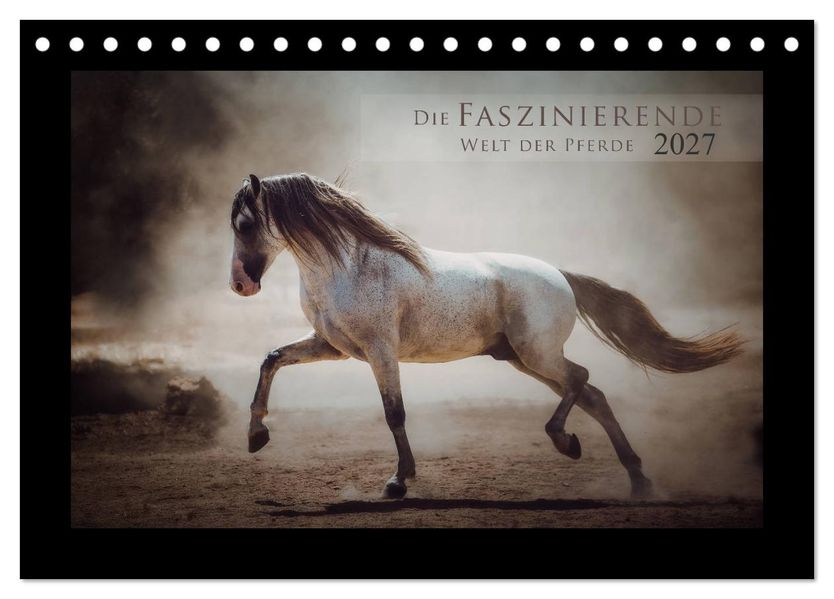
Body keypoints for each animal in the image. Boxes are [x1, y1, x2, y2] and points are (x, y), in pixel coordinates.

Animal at [229, 172, 742, 499]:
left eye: (246, 224)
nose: (241, 286)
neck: (348, 266)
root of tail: (560, 275)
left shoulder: (380, 352)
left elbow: (395, 413)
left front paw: (399, 482)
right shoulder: (333, 348)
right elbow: (271, 358)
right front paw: (256, 436)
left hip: (537, 355)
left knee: (581, 379)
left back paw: (566, 442)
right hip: (521, 359)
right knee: (593, 394)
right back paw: (636, 481)